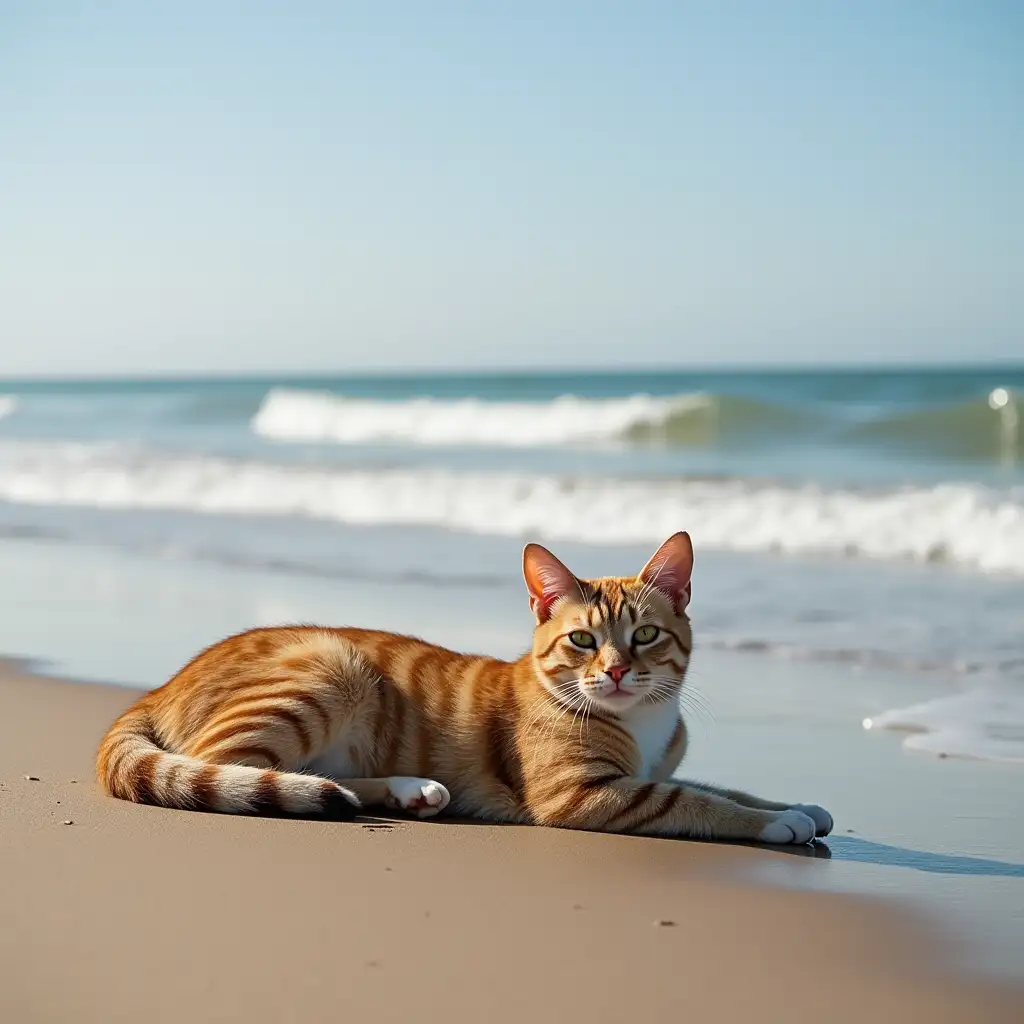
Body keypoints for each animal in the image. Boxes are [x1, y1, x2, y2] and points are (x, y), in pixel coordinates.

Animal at [96, 532, 831, 843]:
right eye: (582, 641)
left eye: (645, 635)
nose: (618, 670)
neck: (642, 717)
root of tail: (157, 688)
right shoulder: (584, 794)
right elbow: (701, 802)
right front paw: (779, 822)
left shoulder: (654, 767)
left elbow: (723, 786)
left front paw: (797, 803)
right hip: (329, 666)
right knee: (234, 768)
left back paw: (406, 789)